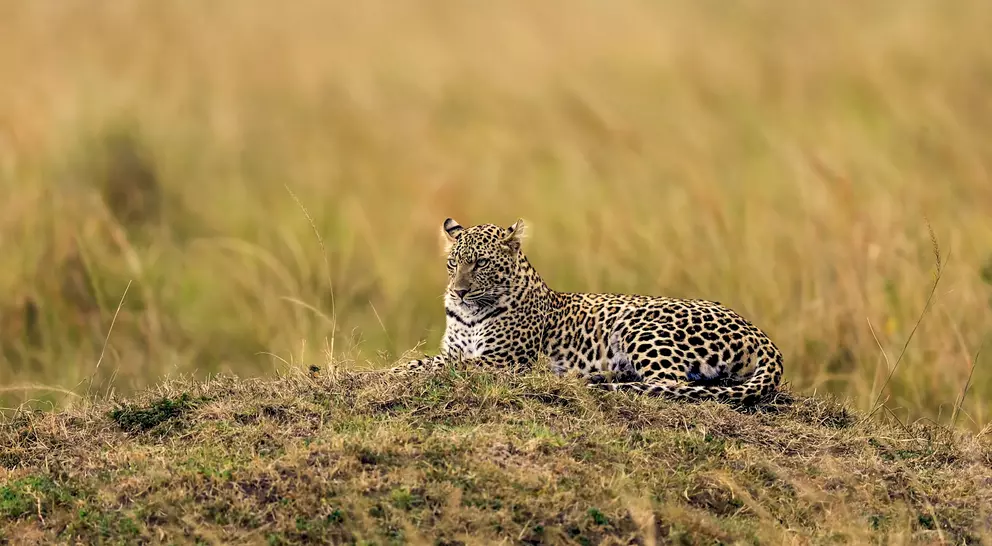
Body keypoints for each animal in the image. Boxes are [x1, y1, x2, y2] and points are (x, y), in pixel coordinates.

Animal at [388, 217, 785, 405]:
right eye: (452, 263)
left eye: (481, 263)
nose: (458, 292)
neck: (469, 315)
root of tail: (761, 335)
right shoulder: (456, 349)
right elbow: (428, 360)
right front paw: (395, 369)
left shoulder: (504, 361)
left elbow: (447, 366)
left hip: (639, 324)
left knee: (671, 384)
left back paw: (596, 379)